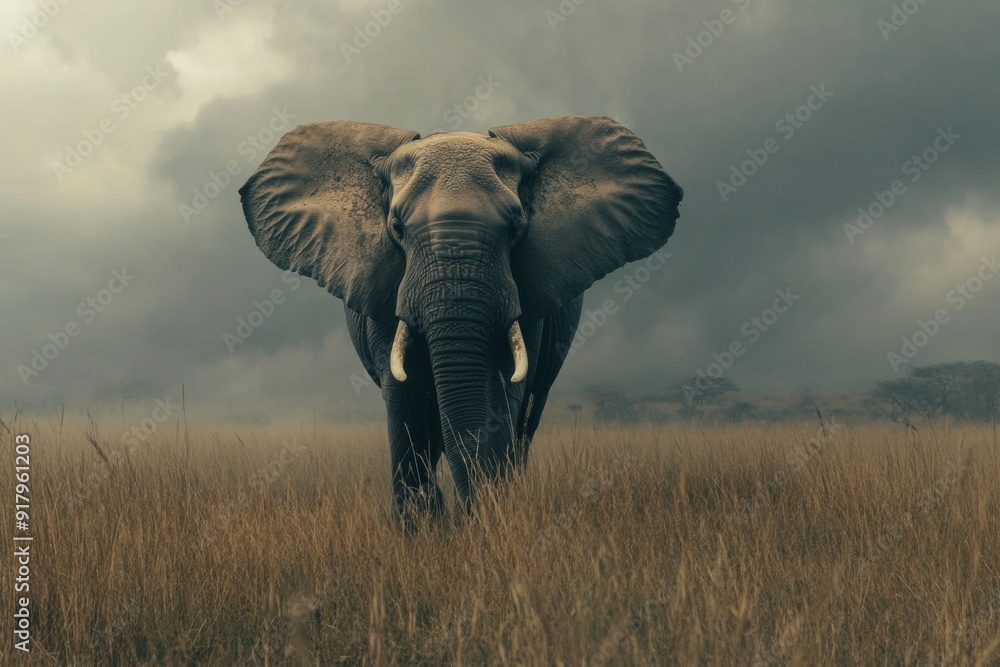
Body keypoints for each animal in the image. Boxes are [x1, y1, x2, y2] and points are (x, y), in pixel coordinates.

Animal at [239, 115, 682, 525]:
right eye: (397, 228)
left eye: (516, 227)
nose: (465, 516)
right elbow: (406, 398)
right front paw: (422, 529)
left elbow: (498, 393)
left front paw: (487, 520)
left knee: (526, 421)